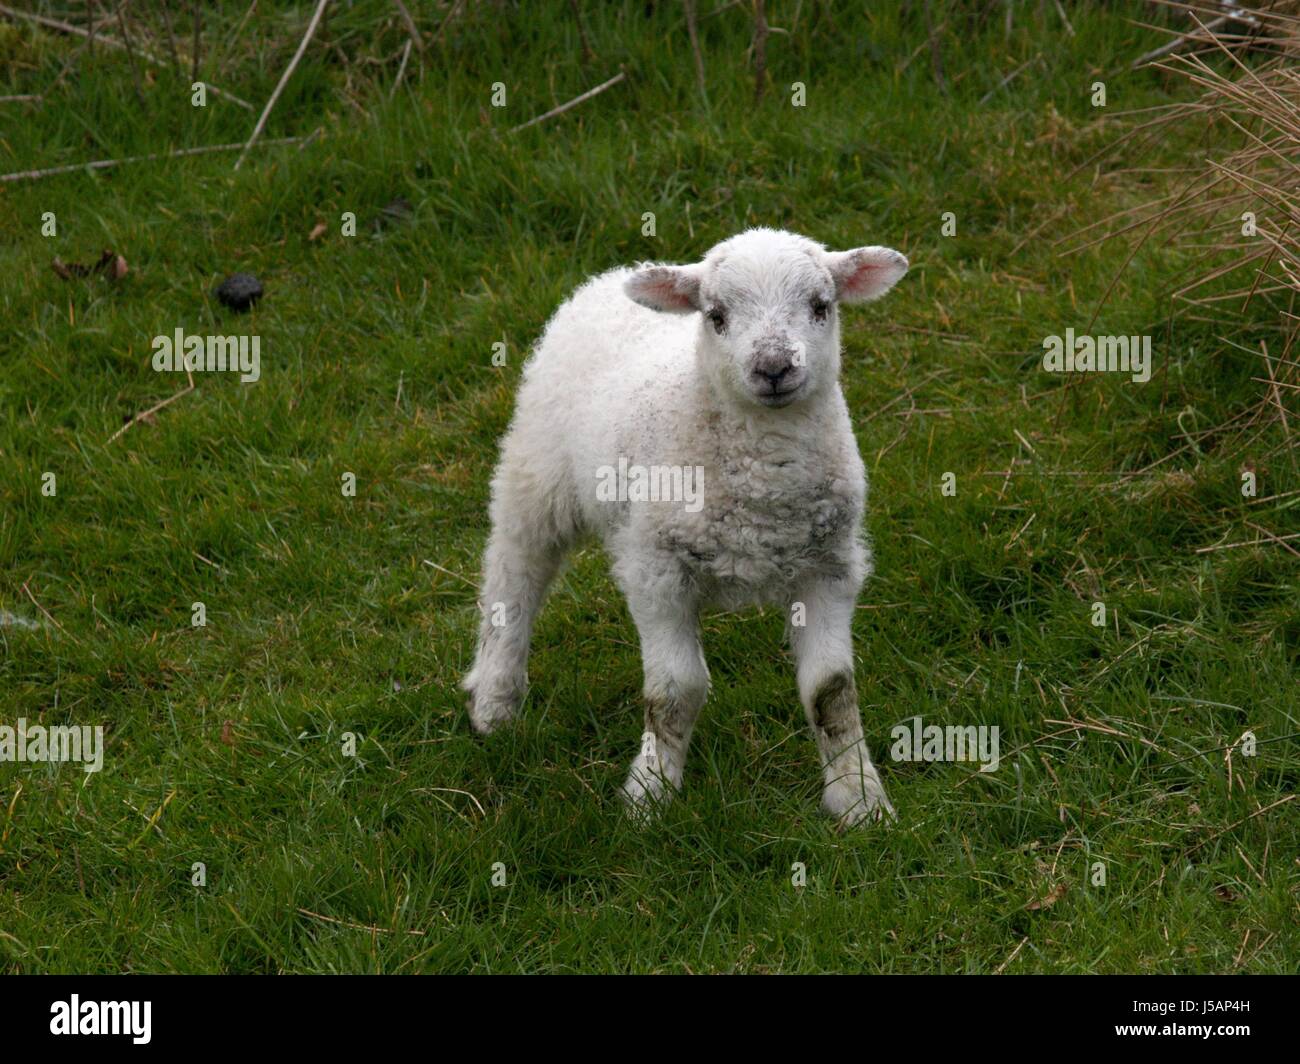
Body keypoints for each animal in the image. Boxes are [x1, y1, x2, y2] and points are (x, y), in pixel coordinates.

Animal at [463, 227, 909, 826]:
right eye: (716, 315)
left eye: (822, 306)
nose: (773, 367)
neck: (764, 477)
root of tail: (609, 276)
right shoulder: (657, 571)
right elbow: (674, 693)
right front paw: (648, 797)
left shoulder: (829, 567)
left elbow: (831, 691)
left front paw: (859, 798)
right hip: (538, 469)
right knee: (515, 570)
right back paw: (495, 697)